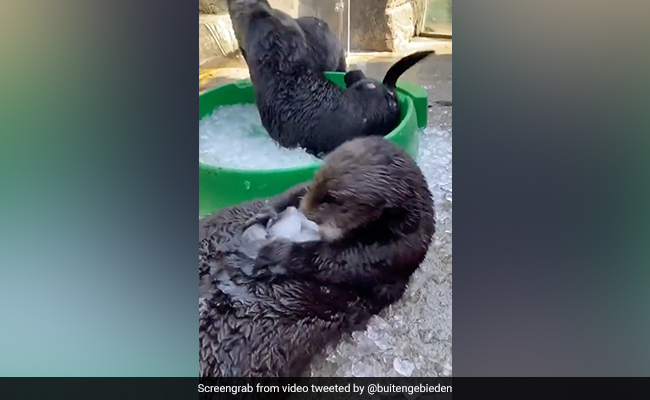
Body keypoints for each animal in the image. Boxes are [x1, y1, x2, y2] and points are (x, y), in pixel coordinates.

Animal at [199, 137, 435, 377]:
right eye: (316, 183)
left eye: (334, 203)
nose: (305, 213)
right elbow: (297, 189)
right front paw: (266, 214)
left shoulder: (396, 250)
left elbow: (343, 261)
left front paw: (277, 252)